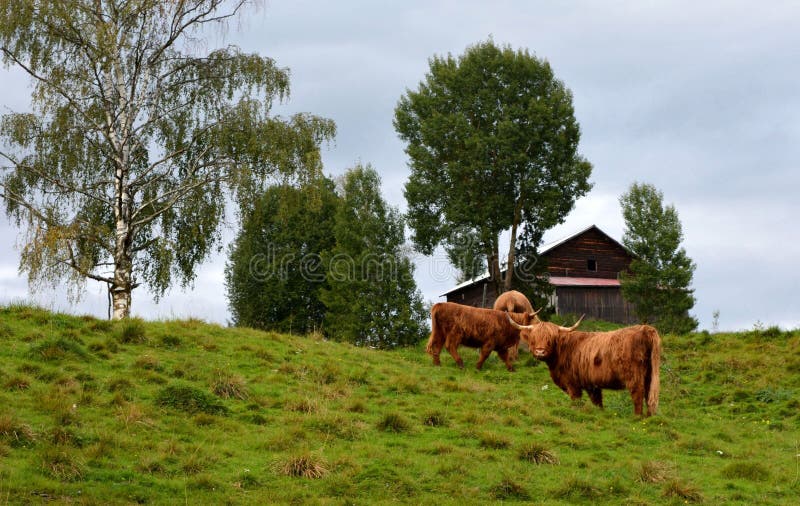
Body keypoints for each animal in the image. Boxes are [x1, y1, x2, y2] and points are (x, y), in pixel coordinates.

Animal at [506, 316, 664, 416]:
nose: (540, 351)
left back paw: (637, 416)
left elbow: (577, 401)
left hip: (634, 376)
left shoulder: (573, 384)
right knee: (649, 394)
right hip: (650, 374)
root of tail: (646, 329)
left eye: (550, 339)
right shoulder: (591, 385)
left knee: (638, 393)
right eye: (533, 339)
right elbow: (597, 402)